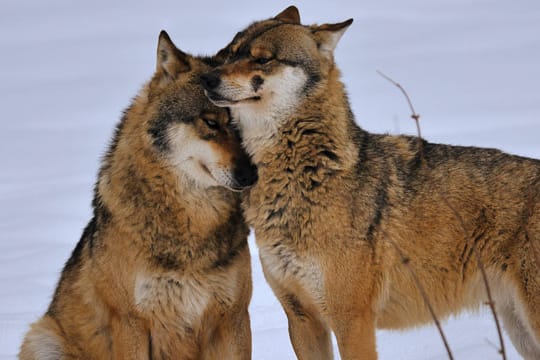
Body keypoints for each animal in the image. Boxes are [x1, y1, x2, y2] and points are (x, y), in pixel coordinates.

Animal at [19, 31, 258, 360]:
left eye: (246, 124)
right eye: (211, 122)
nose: (251, 176)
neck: (191, 233)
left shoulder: (234, 319)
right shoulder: (131, 322)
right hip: (43, 338)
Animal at [201, 6, 540, 360]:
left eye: (263, 58)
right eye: (229, 53)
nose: (207, 79)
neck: (304, 175)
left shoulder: (352, 321)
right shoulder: (302, 318)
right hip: (519, 331)